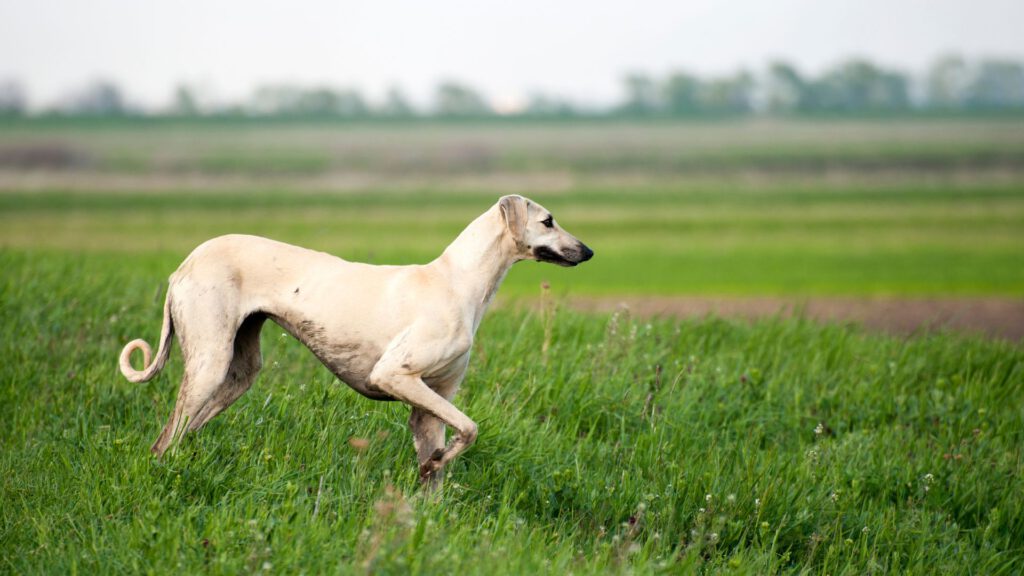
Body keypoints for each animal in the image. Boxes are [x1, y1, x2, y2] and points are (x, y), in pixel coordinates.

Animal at [117, 193, 593, 483]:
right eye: (548, 221)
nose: (588, 252)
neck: (457, 281)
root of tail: (184, 265)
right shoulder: (395, 375)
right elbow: (471, 428)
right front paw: (441, 458)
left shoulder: (430, 405)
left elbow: (438, 464)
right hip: (209, 364)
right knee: (164, 441)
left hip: (238, 374)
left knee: (183, 434)